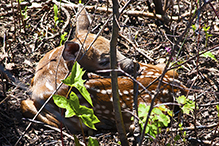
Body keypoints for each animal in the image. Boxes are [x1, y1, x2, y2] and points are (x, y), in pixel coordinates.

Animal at [20, 4, 186, 133]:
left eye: (115, 47)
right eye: (104, 61)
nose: (134, 65)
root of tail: (177, 87)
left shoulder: (73, 117)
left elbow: (26, 105)